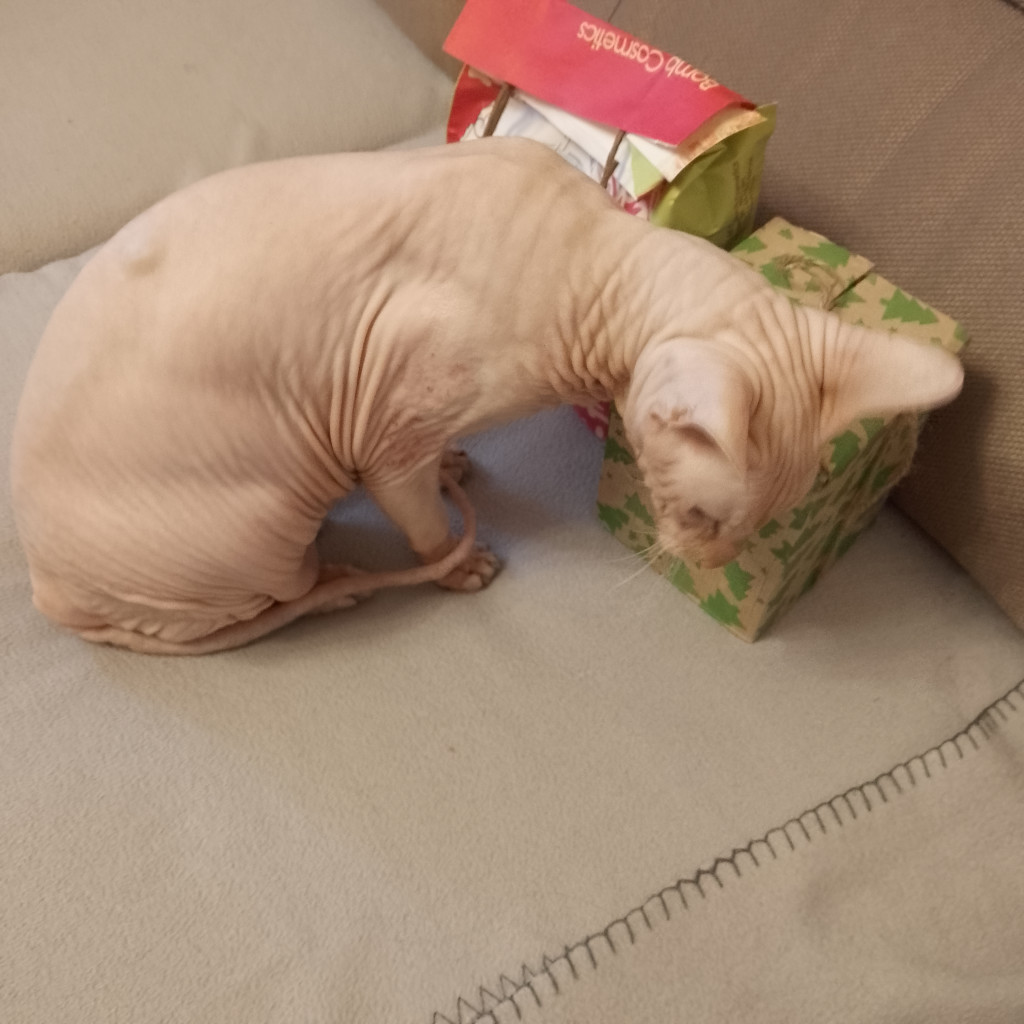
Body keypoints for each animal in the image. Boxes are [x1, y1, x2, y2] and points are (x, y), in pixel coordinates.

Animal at [9, 137, 963, 655]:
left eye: (761, 525)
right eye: (703, 519)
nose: (712, 564)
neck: (595, 255)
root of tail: (45, 590)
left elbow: (438, 460)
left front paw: (456, 462)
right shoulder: (380, 428)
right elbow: (418, 512)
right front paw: (456, 557)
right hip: (258, 519)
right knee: (274, 598)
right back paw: (343, 582)